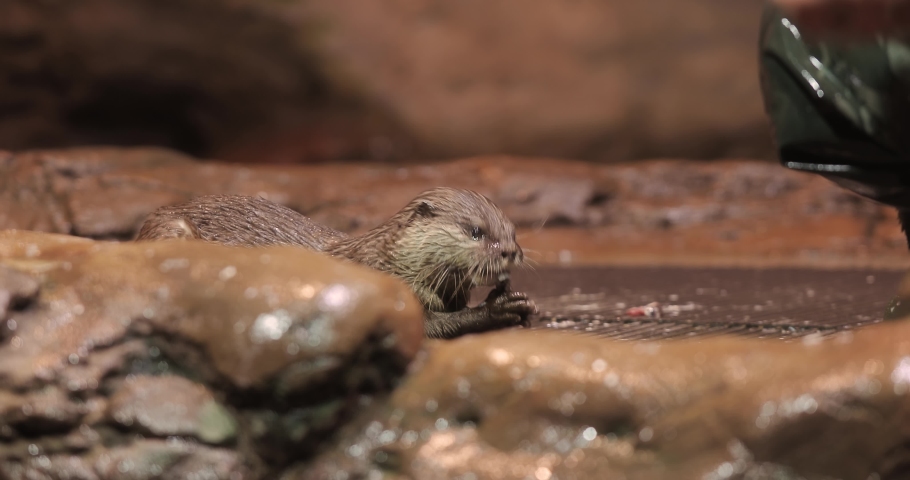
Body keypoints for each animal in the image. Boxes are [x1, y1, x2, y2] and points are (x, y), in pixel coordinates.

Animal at [136, 188, 537, 339]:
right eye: (476, 231)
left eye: (513, 231)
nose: (509, 251)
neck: (390, 263)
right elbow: (431, 326)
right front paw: (498, 308)